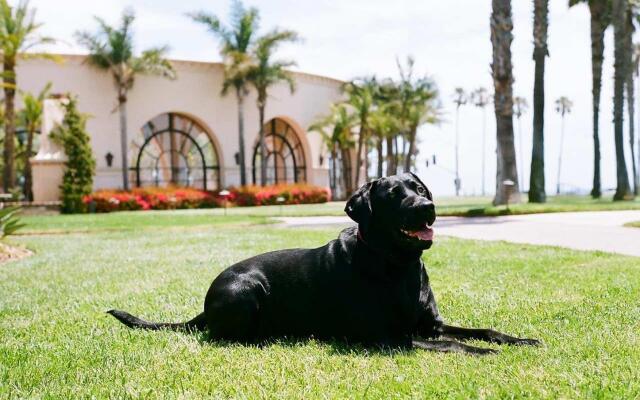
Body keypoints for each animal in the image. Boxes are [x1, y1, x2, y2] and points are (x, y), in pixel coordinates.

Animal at [107, 173, 536, 354]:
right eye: (394, 195)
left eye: (420, 189)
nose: (428, 207)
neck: (398, 265)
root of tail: (204, 304)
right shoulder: (389, 336)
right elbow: (453, 343)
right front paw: (483, 354)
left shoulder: (429, 324)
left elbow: (481, 330)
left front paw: (520, 340)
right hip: (246, 289)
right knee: (228, 336)